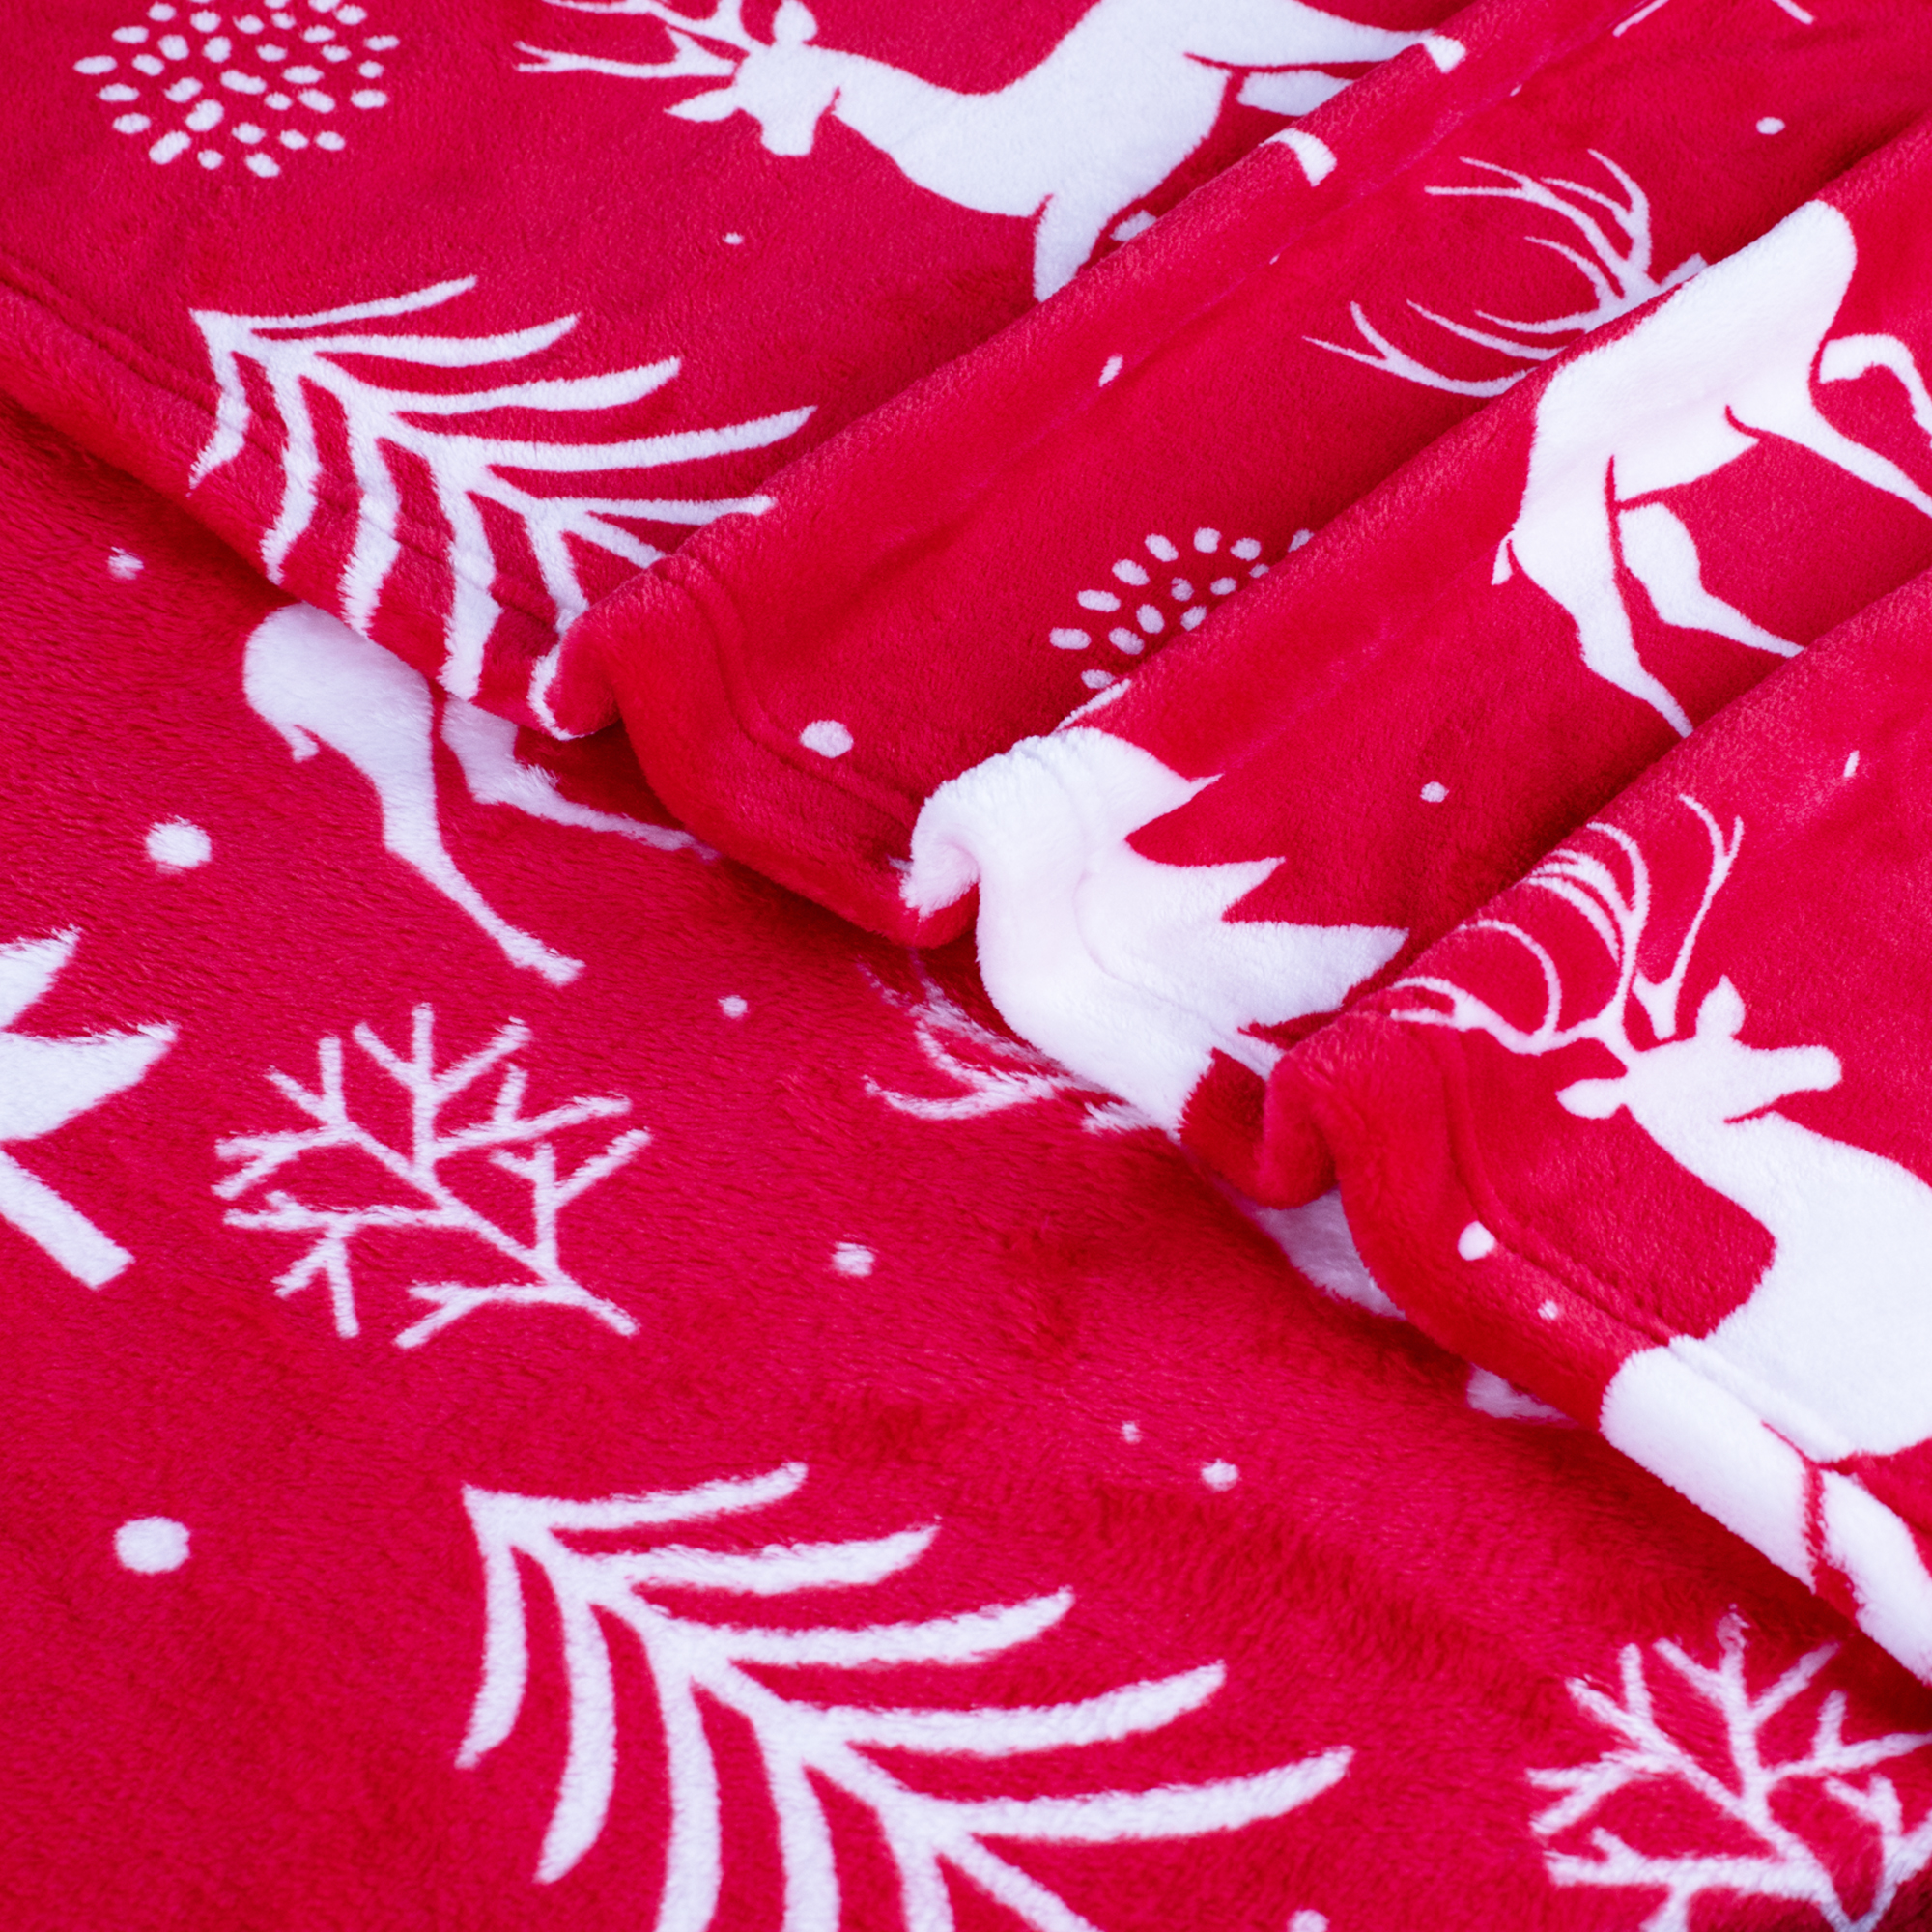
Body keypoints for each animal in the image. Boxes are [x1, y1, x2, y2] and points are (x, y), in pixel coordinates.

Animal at [518, 0, 1427, 299]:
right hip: (1242, 68)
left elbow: (1060, 292)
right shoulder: (1107, 211)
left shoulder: (1072, 207)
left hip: (1264, 33)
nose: (781, 148)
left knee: (1358, 43)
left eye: (805, 84)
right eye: (747, 107)